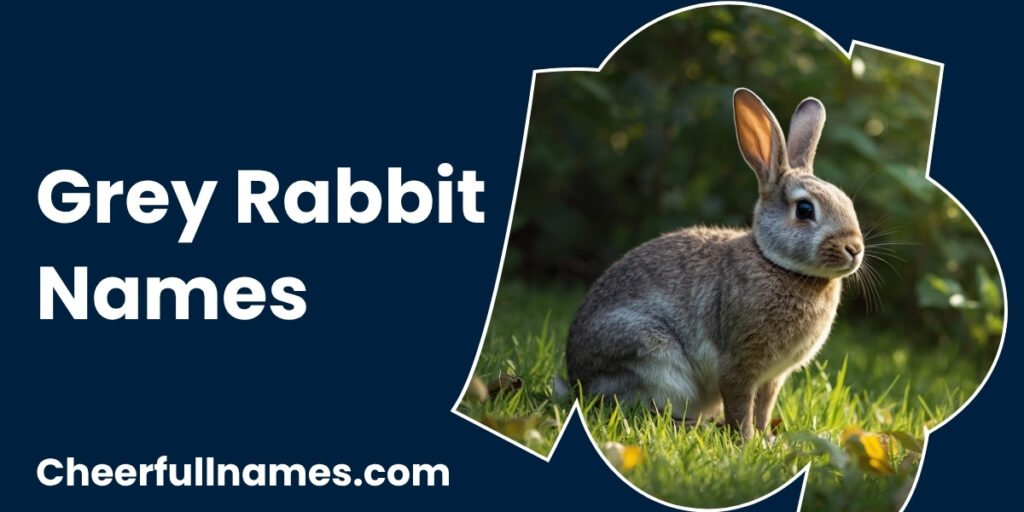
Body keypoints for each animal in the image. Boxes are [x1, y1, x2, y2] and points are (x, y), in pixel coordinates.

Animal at [566, 88, 863, 441]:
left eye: (847, 202)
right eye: (805, 209)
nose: (854, 248)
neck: (778, 265)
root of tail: (576, 380)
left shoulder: (772, 378)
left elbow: (763, 407)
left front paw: (766, 438)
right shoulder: (738, 364)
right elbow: (740, 403)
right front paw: (747, 441)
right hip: (651, 355)